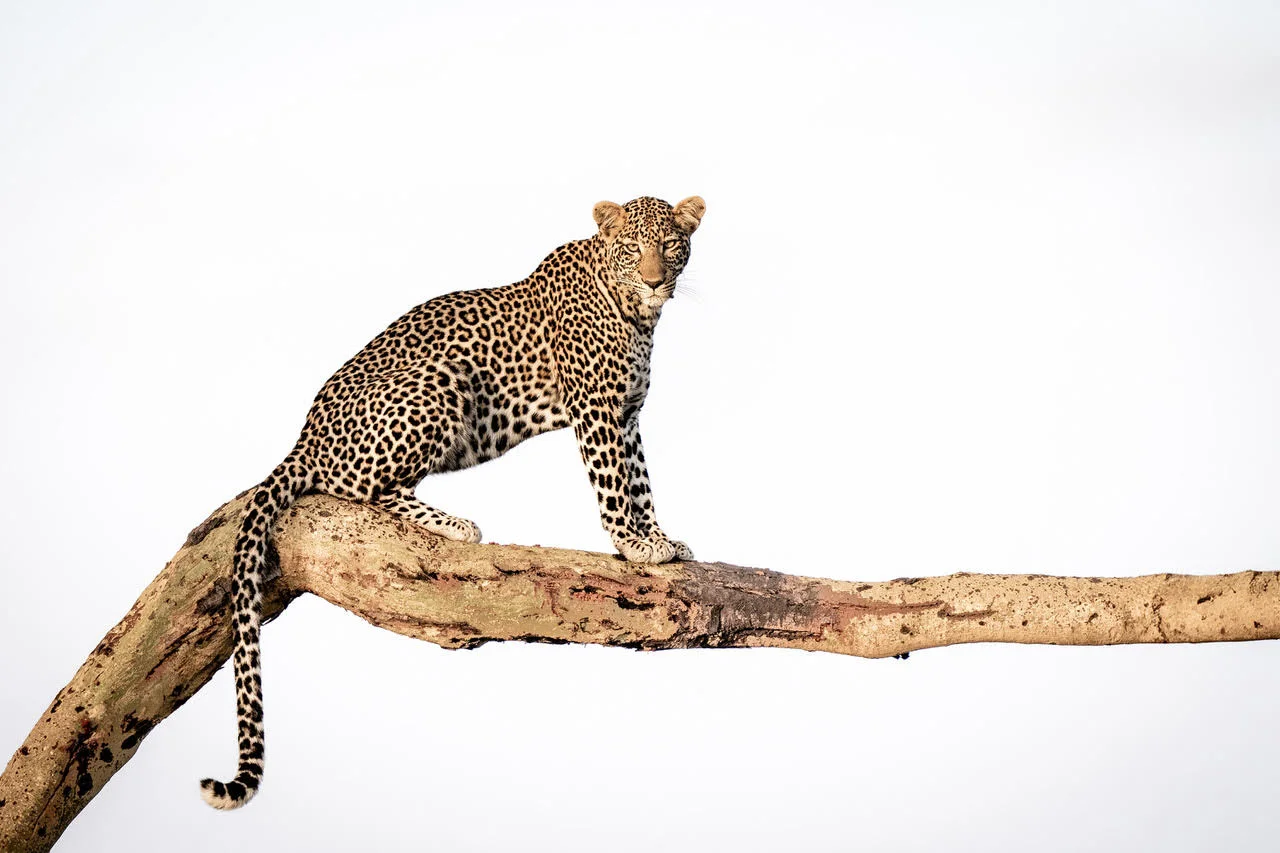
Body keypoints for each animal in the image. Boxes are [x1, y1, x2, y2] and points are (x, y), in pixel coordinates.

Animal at [200, 194, 706, 809]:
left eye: (671, 246)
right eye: (632, 249)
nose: (655, 282)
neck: (634, 315)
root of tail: (304, 438)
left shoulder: (628, 417)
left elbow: (641, 483)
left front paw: (659, 537)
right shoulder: (597, 410)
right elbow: (613, 485)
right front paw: (633, 545)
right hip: (438, 382)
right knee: (354, 487)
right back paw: (453, 524)